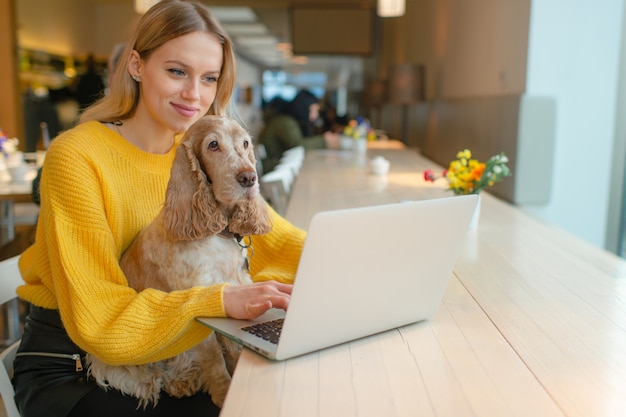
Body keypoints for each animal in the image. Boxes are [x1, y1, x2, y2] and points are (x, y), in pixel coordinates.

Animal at [86, 115, 272, 408]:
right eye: (213, 145)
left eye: (245, 143)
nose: (249, 177)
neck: (216, 233)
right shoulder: (200, 306)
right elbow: (215, 359)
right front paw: (224, 393)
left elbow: (231, 348)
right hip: (118, 363)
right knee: (148, 376)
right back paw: (178, 383)